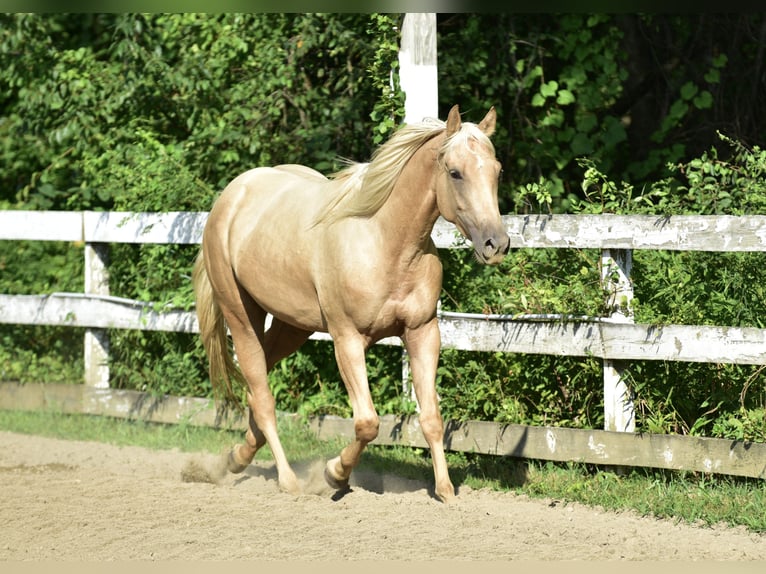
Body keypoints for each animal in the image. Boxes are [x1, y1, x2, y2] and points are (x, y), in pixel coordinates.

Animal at [192, 105, 510, 503]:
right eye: (455, 172)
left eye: (497, 170)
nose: (496, 244)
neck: (385, 241)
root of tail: (231, 196)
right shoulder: (347, 340)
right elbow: (367, 423)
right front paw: (335, 474)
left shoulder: (422, 334)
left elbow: (431, 418)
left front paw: (445, 490)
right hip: (241, 316)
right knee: (262, 397)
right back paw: (287, 480)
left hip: (292, 327)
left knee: (256, 390)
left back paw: (234, 459)